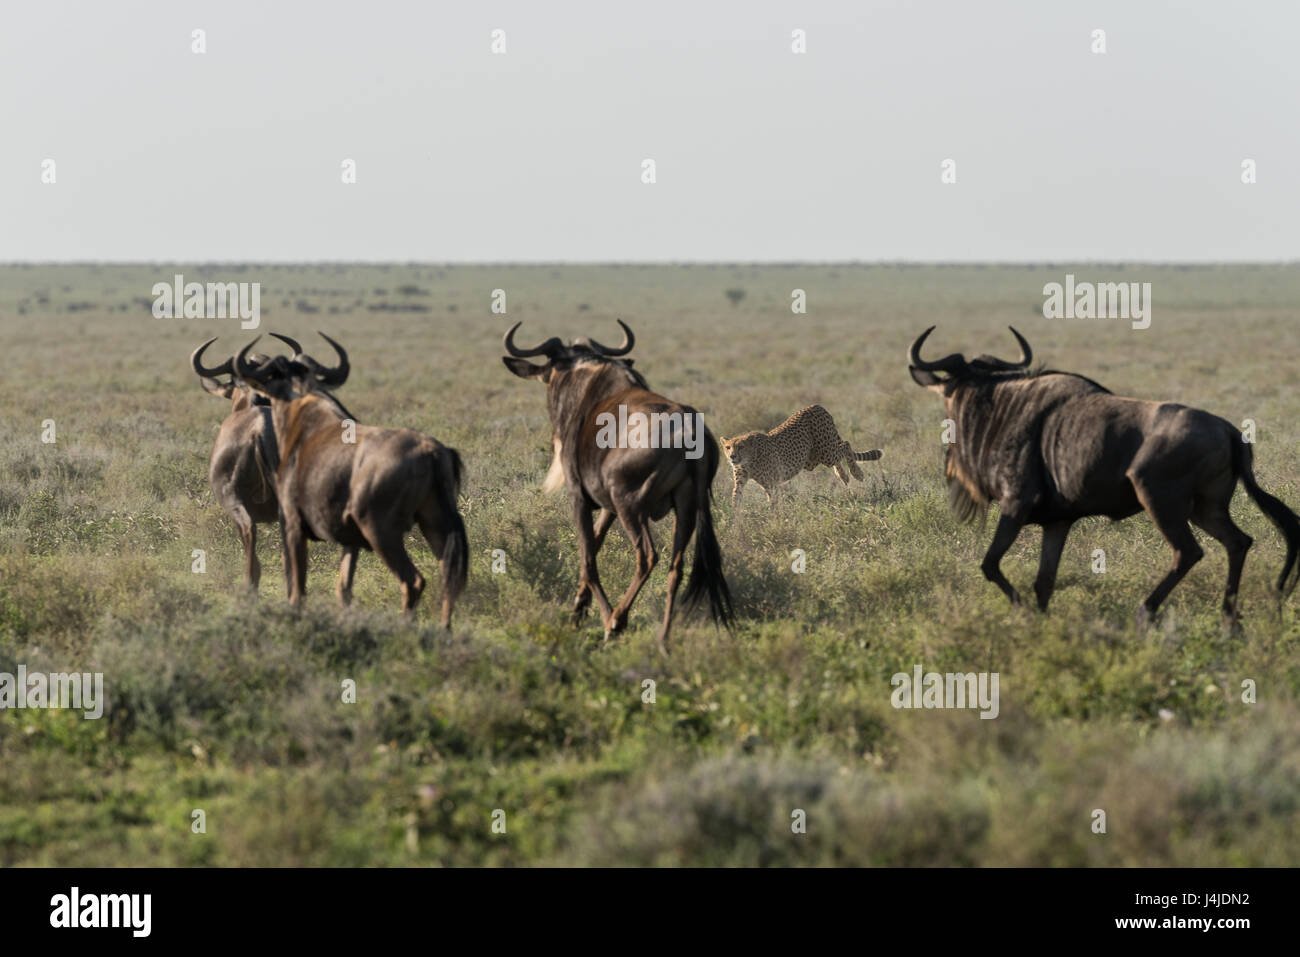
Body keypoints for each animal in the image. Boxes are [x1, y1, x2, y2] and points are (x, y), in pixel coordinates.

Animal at [722, 403, 883, 509]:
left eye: (741, 447)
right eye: (728, 447)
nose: (732, 457)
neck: (749, 459)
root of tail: (816, 405)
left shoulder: (772, 483)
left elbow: (774, 501)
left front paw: (773, 517)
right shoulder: (741, 481)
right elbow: (736, 496)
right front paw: (735, 522)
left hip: (826, 452)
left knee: (846, 445)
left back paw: (856, 473)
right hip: (812, 459)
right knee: (839, 454)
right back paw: (843, 476)